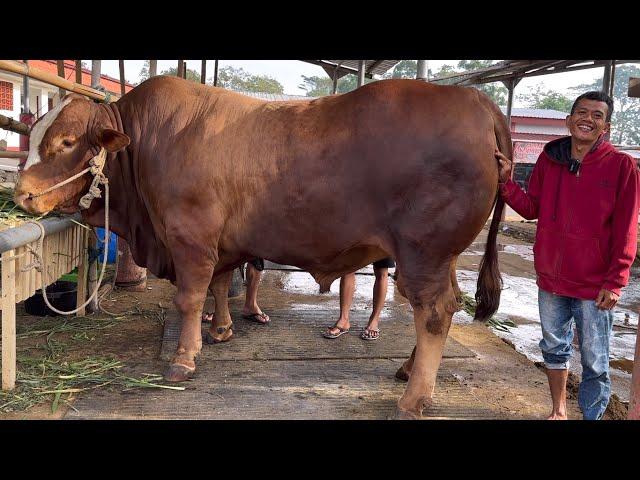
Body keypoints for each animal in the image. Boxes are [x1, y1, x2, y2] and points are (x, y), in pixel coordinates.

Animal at [13, 77, 510, 418]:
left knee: (434, 312)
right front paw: (221, 330)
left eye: (66, 142)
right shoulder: (220, 244)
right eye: (34, 135)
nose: (22, 194)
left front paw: (183, 359)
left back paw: (413, 397)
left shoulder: (190, 238)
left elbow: (189, 298)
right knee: (446, 305)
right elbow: (219, 285)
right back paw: (408, 371)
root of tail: (475, 101)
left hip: (422, 253)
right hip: (441, 257)